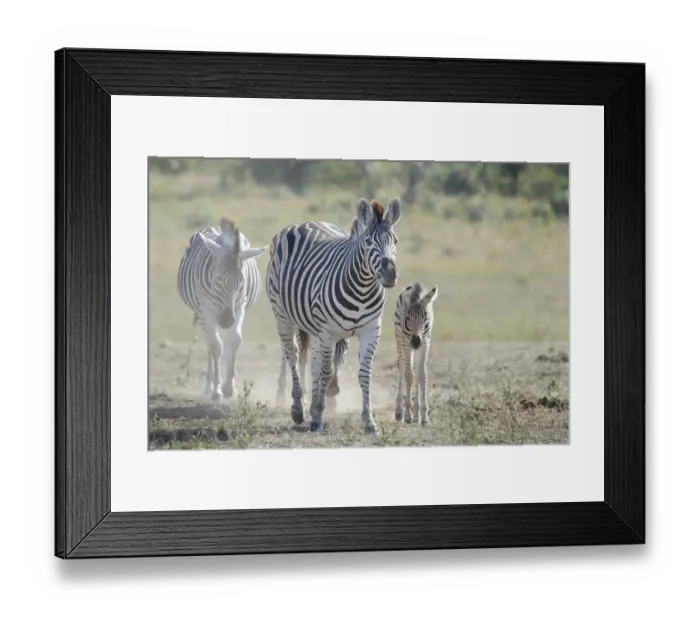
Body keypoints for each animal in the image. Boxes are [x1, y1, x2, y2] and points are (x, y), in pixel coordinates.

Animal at [177, 217, 267, 402]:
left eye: (242, 283)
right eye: (218, 280)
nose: (226, 320)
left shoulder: (239, 306)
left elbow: (234, 340)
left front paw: (229, 387)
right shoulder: (206, 310)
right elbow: (216, 347)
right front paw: (217, 390)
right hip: (203, 314)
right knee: (210, 345)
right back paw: (208, 387)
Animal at [266, 197, 402, 434]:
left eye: (394, 240)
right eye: (368, 241)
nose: (389, 274)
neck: (362, 290)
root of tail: (307, 223)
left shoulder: (371, 330)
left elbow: (364, 374)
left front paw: (369, 421)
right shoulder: (329, 332)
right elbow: (326, 371)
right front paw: (318, 416)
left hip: (312, 326)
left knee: (311, 360)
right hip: (283, 316)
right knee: (293, 355)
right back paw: (298, 408)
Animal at [393, 282, 439, 426]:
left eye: (425, 318)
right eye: (408, 318)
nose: (416, 341)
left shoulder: (425, 341)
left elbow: (422, 375)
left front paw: (423, 415)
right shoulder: (407, 341)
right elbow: (408, 375)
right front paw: (407, 414)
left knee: (417, 372)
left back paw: (416, 414)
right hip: (400, 339)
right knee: (402, 366)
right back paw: (399, 411)